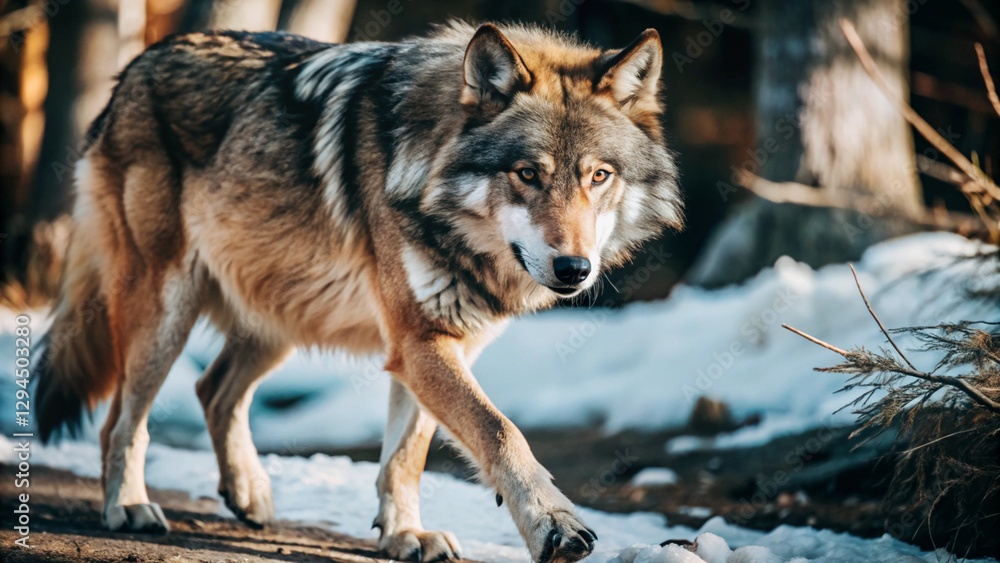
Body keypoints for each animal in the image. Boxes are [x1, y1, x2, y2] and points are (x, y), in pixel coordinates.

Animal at [35, 21, 682, 562]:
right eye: (528, 174)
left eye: (599, 176)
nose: (574, 268)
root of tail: (137, 64)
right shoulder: (420, 339)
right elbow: (501, 432)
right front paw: (554, 524)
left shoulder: (438, 345)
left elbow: (407, 456)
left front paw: (404, 535)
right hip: (164, 310)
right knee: (122, 420)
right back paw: (128, 505)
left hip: (280, 316)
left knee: (212, 390)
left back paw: (247, 494)